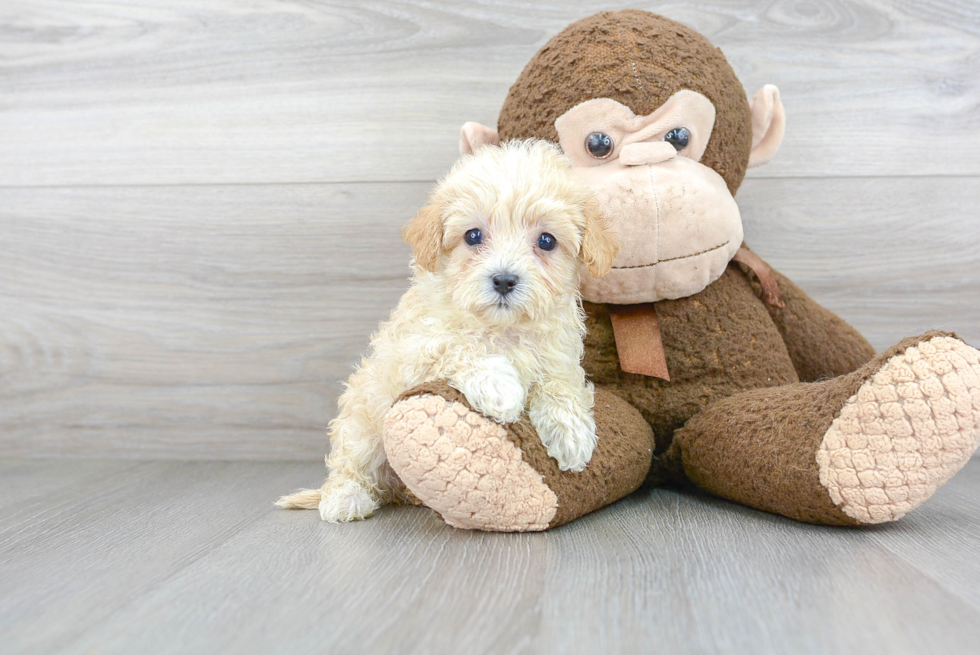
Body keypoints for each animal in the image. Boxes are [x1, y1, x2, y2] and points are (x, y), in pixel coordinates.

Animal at [276, 140, 616, 524]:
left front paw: (571, 432)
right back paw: (345, 497)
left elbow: (561, 383)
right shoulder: (413, 351)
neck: (502, 328)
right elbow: (456, 346)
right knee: (352, 465)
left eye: (546, 241)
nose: (503, 279)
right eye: (473, 236)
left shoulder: (558, 354)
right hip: (362, 423)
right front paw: (500, 388)